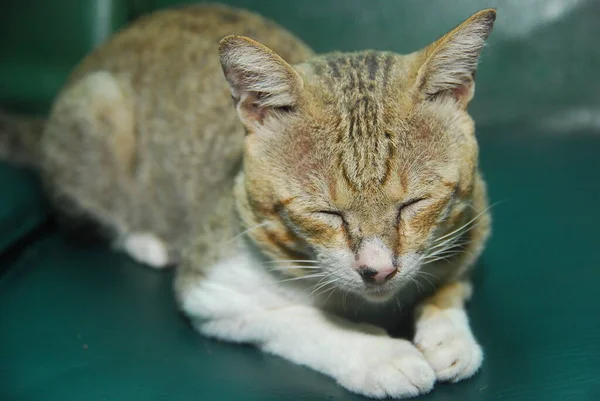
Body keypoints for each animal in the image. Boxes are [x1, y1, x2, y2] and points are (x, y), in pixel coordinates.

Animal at [0, 3, 496, 396]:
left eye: (413, 204)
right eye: (326, 212)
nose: (378, 270)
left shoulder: (471, 232)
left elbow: (453, 284)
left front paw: (450, 338)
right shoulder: (212, 295)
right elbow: (300, 320)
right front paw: (378, 355)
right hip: (99, 104)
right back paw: (150, 242)